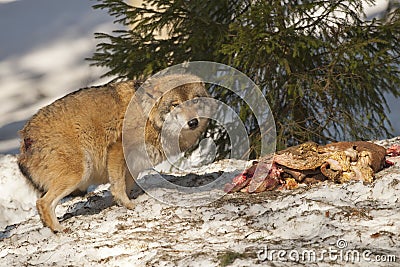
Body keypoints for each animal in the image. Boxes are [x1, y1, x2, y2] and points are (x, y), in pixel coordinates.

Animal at [18, 74, 212, 232]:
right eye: (175, 105)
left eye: (195, 101)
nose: (193, 122)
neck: (149, 118)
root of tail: (25, 138)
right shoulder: (117, 150)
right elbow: (119, 185)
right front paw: (129, 205)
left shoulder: (134, 164)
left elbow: (126, 185)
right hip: (79, 173)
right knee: (43, 203)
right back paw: (58, 229)